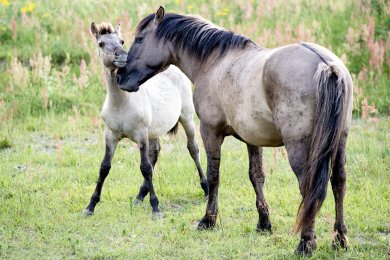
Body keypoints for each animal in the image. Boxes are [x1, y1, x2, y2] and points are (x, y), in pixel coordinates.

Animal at [84, 22, 209, 217]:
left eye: (121, 41)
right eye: (101, 44)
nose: (122, 56)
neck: (121, 103)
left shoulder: (141, 135)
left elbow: (145, 168)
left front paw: (155, 207)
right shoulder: (111, 135)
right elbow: (104, 167)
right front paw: (91, 206)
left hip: (186, 118)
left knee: (193, 149)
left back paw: (205, 188)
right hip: (154, 131)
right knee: (155, 153)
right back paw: (139, 196)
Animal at [116, 6, 354, 256]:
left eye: (140, 39)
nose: (120, 77)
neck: (214, 62)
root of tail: (326, 65)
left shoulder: (210, 131)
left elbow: (213, 176)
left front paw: (208, 220)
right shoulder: (253, 139)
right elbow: (256, 176)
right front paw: (263, 223)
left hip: (299, 147)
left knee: (309, 188)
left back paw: (306, 243)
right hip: (339, 143)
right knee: (338, 182)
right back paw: (340, 239)